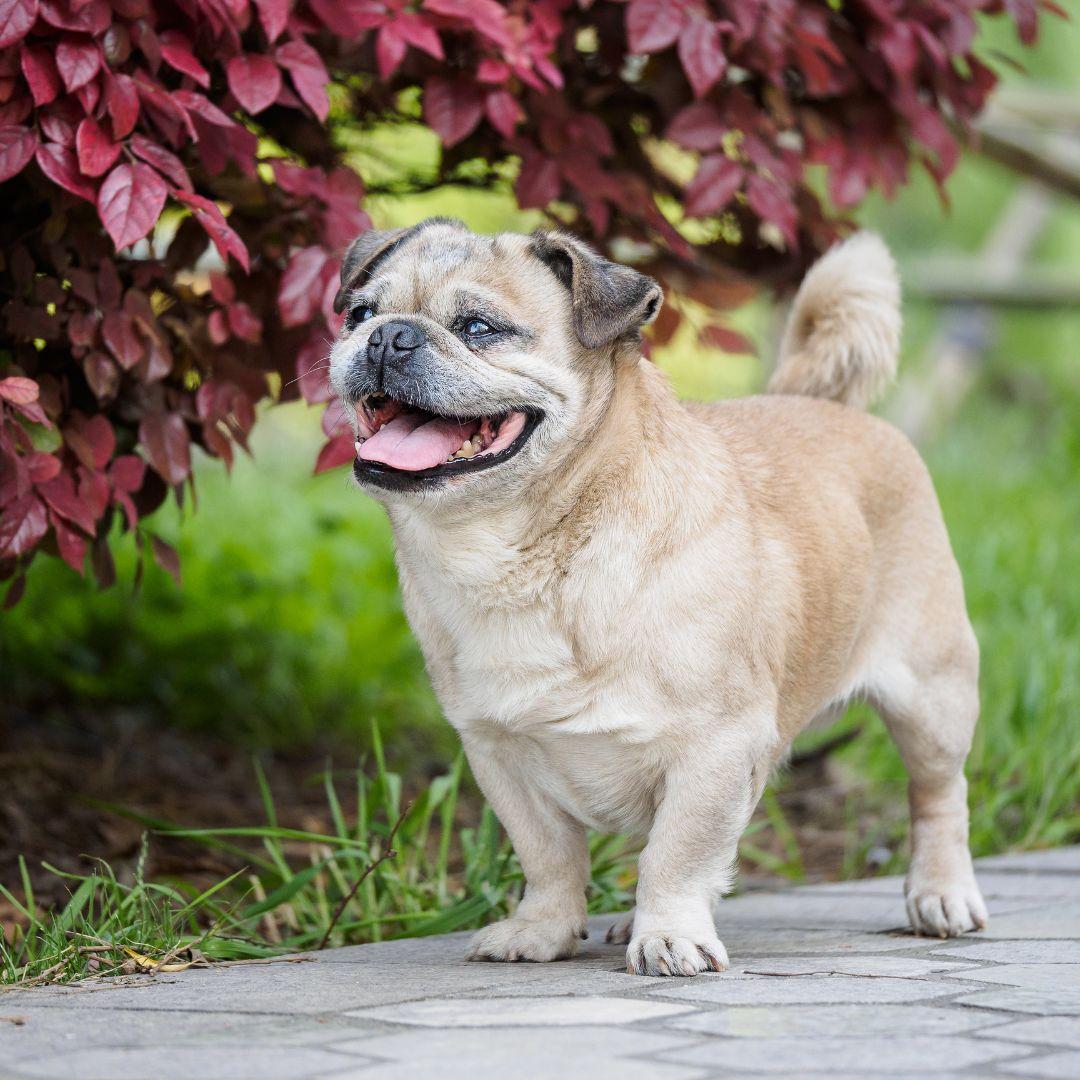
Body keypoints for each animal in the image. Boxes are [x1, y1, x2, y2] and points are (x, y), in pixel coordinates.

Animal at [326, 219, 989, 980]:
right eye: (358, 314)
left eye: (478, 328)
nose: (388, 336)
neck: (518, 550)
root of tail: (825, 404)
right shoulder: (501, 757)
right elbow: (549, 858)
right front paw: (544, 929)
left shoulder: (715, 748)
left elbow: (678, 854)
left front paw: (670, 933)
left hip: (931, 700)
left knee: (938, 796)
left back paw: (941, 894)